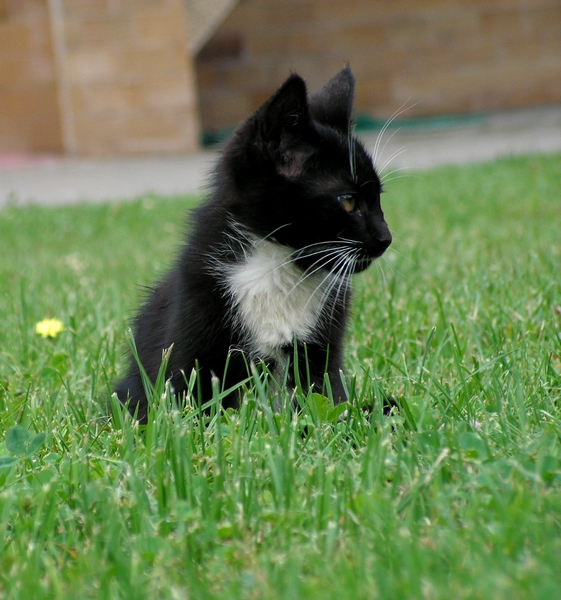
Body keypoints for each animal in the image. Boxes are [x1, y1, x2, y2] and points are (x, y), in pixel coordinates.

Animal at [116, 67, 392, 422]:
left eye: (378, 198)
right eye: (348, 201)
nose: (386, 238)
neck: (279, 266)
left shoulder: (321, 352)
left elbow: (326, 402)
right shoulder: (193, 325)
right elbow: (188, 404)